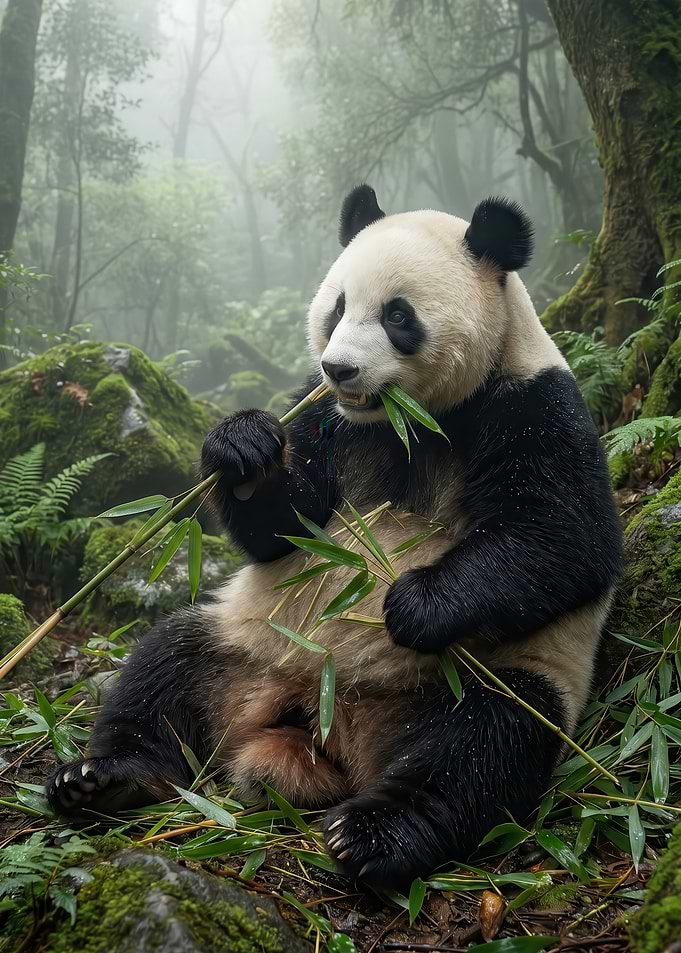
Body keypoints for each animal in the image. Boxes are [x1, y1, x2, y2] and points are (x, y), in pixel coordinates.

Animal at [48, 186, 623, 886]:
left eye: (399, 316)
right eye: (338, 307)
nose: (340, 367)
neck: (408, 419)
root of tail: (325, 716)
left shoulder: (532, 403)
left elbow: (567, 539)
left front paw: (415, 604)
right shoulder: (325, 414)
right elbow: (282, 531)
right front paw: (243, 447)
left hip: (484, 677)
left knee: (481, 745)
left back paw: (377, 832)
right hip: (244, 640)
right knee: (162, 669)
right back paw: (103, 779)